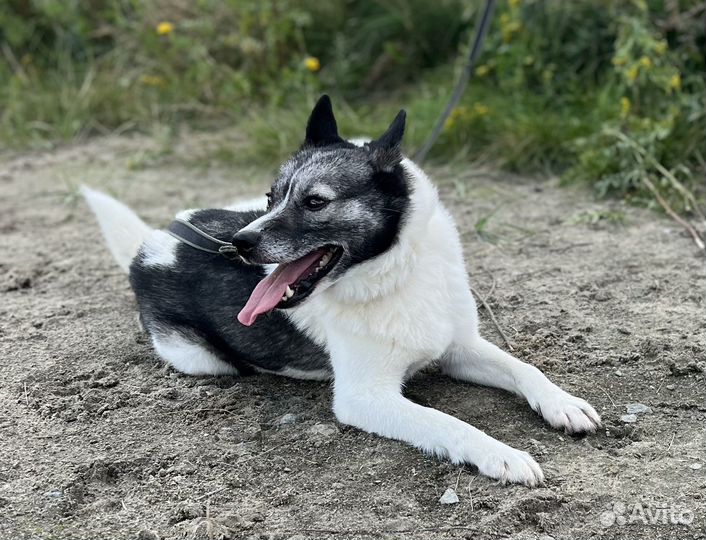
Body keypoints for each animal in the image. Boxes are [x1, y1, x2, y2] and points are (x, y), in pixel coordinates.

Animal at [84, 94, 600, 486]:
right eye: (273, 197)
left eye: (315, 202)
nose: (241, 244)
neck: (394, 274)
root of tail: (153, 243)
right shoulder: (364, 397)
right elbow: (448, 421)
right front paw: (499, 453)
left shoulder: (460, 348)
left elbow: (525, 368)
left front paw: (562, 403)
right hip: (201, 357)